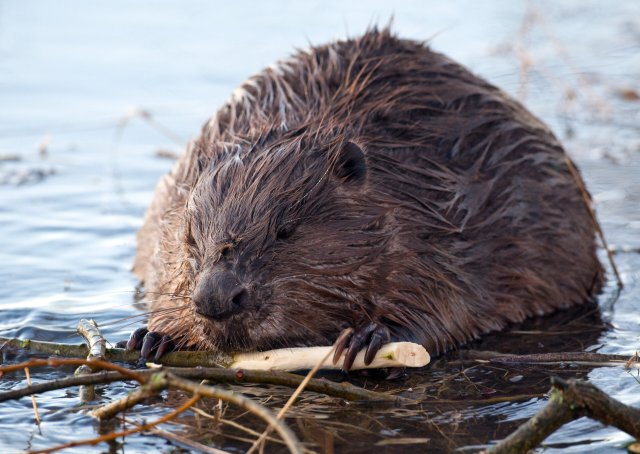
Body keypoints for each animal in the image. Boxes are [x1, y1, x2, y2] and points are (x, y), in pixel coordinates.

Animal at [127, 27, 604, 368]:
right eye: (191, 236)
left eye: (285, 231)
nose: (216, 299)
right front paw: (155, 334)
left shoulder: (444, 222)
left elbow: (448, 302)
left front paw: (370, 337)